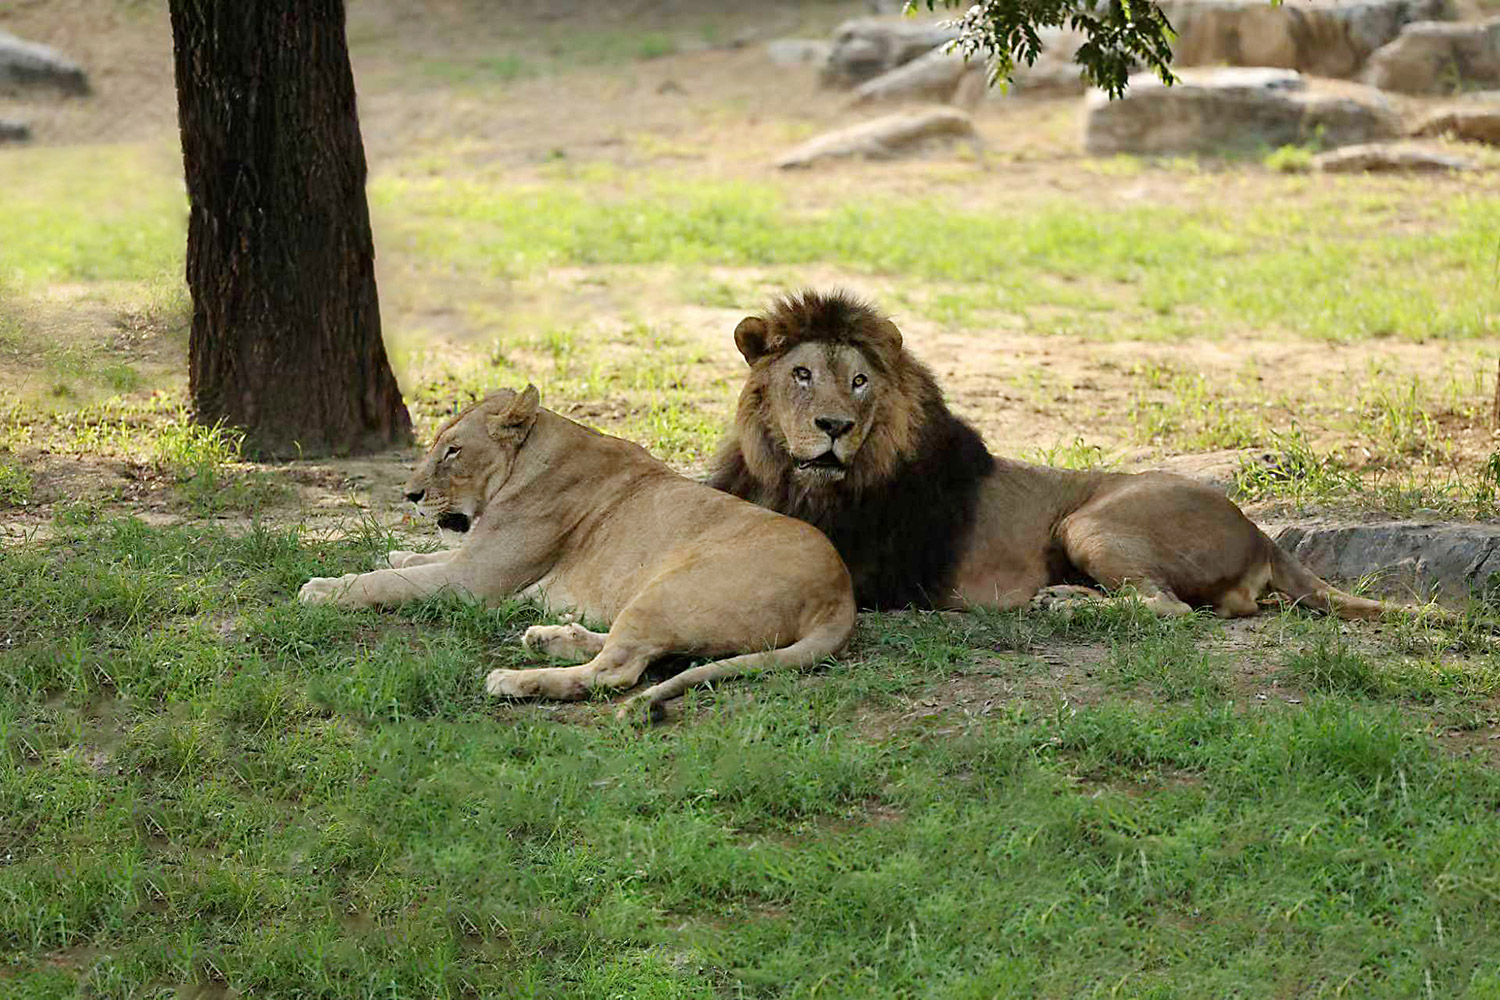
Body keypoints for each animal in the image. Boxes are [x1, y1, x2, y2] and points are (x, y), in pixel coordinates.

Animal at [299, 384, 856, 717]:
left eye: (453, 450)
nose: (409, 495)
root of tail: (842, 595)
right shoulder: (472, 560)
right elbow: (414, 561)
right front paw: (393, 555)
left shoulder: (473, 582)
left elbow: (385, 583)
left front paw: (323, 589)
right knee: (638, 652)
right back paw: (548, 636)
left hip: (666, 590)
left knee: (617, 671)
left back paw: (513, 680)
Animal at [706, 289, 1389, 620]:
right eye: (801, 374)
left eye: (858, 381)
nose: (834, 426)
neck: (796, 479)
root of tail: (1259, 530)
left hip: (1090, 522)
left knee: (1169, 609)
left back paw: (1065, 603)